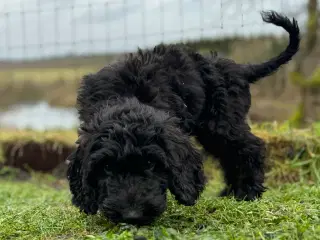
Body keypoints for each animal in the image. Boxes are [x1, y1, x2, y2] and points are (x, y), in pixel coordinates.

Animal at [66, 10, 298, 225]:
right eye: (106, 167)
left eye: (150, 163)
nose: (132, 216)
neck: (127, 97)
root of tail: (239, 68)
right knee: (230, 155)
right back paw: (230, 193)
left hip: (222, 123)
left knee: (250, 148)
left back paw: (248, 192)